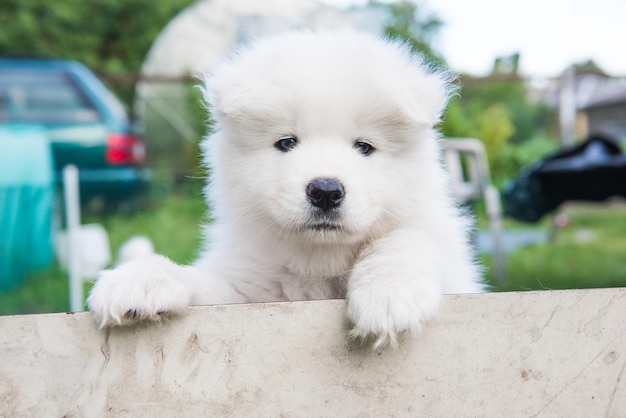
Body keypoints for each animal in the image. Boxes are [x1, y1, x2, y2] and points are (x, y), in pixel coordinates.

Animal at [85, 29, 480, 348]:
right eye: (286, 143)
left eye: (364, 147)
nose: (325, 191)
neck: (318, 260)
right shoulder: (247, 293)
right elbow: (204, 281)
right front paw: (141, 279)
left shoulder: (451, 266)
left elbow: (407, 239)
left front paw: (387, 292)